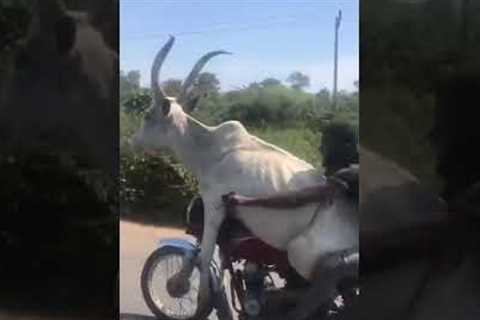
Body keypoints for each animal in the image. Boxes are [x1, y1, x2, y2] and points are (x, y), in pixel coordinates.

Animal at [133, 37, 358, 310]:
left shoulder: (214, 203)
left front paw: (190, 291)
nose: (134, 141)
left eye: (147, 114)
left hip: (301, 253)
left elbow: (203, 255)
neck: (209, 151)